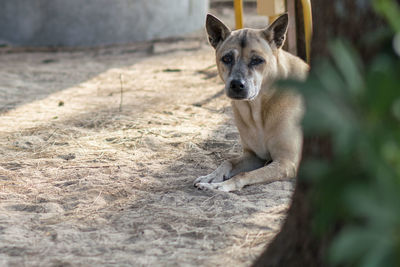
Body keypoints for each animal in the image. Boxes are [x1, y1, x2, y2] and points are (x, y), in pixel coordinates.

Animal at [194, 13, 310, 193]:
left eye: (257, 60)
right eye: (227, 58)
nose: (236, 84)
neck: (257, 109)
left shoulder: (286, 162)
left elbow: (243, 175)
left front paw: (222, 186)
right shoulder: (254, 156)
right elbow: (227, 162)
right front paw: (212, 176)